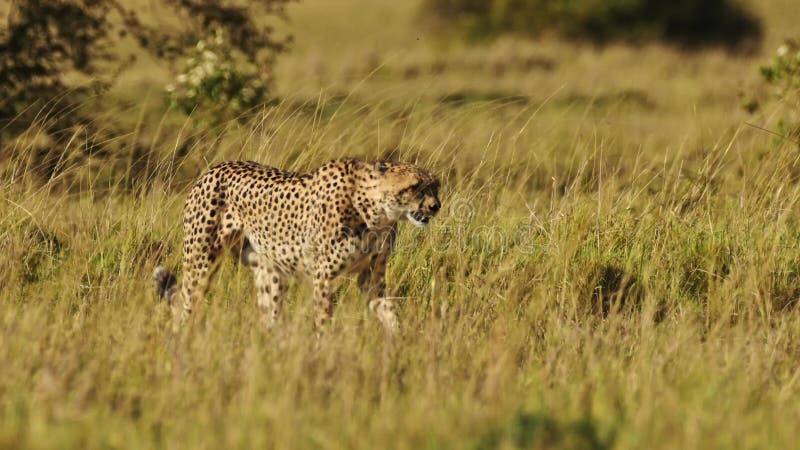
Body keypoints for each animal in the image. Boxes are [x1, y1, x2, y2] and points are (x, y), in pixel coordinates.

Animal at [153, 157, 440, 330]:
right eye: (416, 187)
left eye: (436, 186)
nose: (436, 206)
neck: (376, 211)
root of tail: (213, 169)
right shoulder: (324, 275)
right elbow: (324, 320)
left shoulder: (371, 276)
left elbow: (389, 311)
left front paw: (399, 343)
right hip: (202, 262)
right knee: (184, 302)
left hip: (268, 271)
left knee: (270, 317)